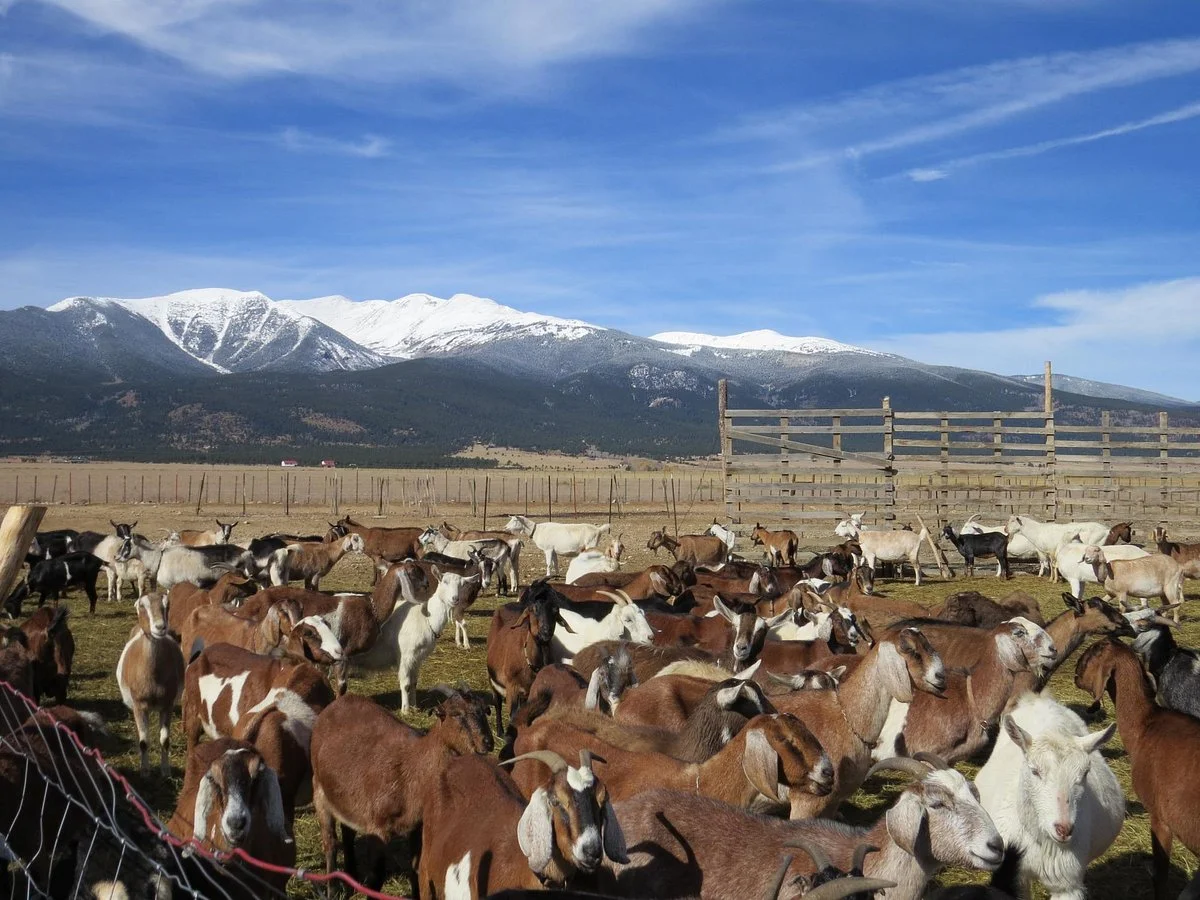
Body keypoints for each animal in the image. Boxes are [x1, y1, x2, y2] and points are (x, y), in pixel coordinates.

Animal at [115, 593, 185, 776]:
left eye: (167, 605)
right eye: (142, 605)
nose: (160, 627)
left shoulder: (167, 705)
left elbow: (165, 739)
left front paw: (166, 771)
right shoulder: (139, 706)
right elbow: (144, 741)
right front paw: (145, 771)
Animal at [310, 691, 493, 888]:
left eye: (485, 710)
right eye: (456, 714)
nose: (488, 742)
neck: (412, 766)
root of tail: (341, 699)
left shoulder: (416, 829)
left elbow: (416, 870)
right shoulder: (377, 827)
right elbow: (376, 876)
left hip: (345, 799)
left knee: (347, 833)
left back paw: (351, 875)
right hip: (319, 793)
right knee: (329, 842)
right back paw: (334, 888)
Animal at [975, 693, 1122, 900]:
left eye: (1085, 772)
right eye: (1034, 771)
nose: (1064, 829)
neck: (1041, 839)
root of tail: (1039, 699)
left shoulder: (1067, 884)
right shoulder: (1015, 874)